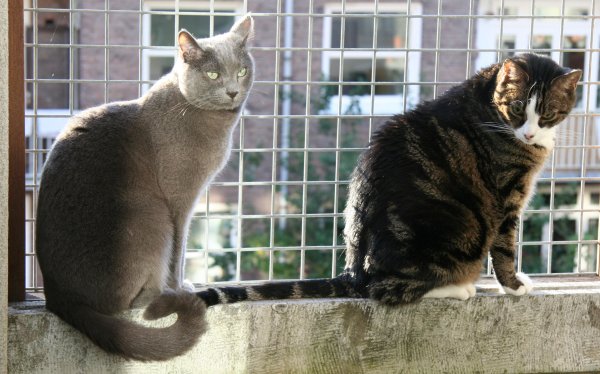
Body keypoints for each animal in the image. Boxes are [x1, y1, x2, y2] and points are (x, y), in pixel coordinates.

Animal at [36, 15, 254, 362]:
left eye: (242, 71)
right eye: (213, 74)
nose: (233, 91)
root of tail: (58, 297)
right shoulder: (180, 200)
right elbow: (179, 251)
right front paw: (181, 286)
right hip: (151, 214)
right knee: (134, 299)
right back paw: (163, 294)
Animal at [197, 54, 580, 308]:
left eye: (547, 114)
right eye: (516, 108)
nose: (529, 134)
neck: (488, 101)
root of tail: (356, 273)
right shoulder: (508, 194)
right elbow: (504, 249)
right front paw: (514, 285)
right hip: (454, 232)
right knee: (389, 291)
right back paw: (458, 287)